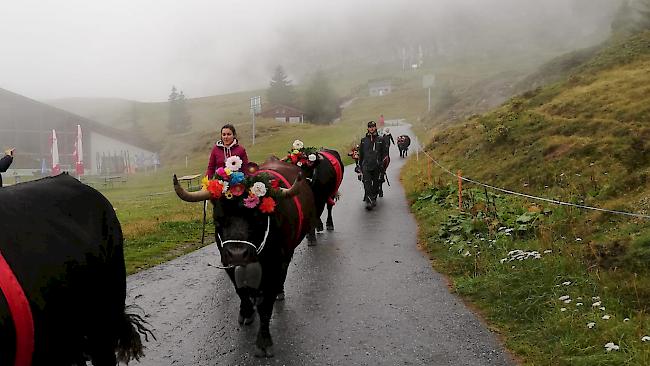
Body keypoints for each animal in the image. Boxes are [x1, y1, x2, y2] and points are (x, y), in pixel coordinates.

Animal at [172, 155, 314, 358]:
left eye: (258, 216)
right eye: (217, 219)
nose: (238, 254)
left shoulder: (274, 266)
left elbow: (266, 305)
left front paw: (264, 341)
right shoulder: (228, 264)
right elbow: (241, 292)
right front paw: (246, 312)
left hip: (288, 254)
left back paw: (279, 292)